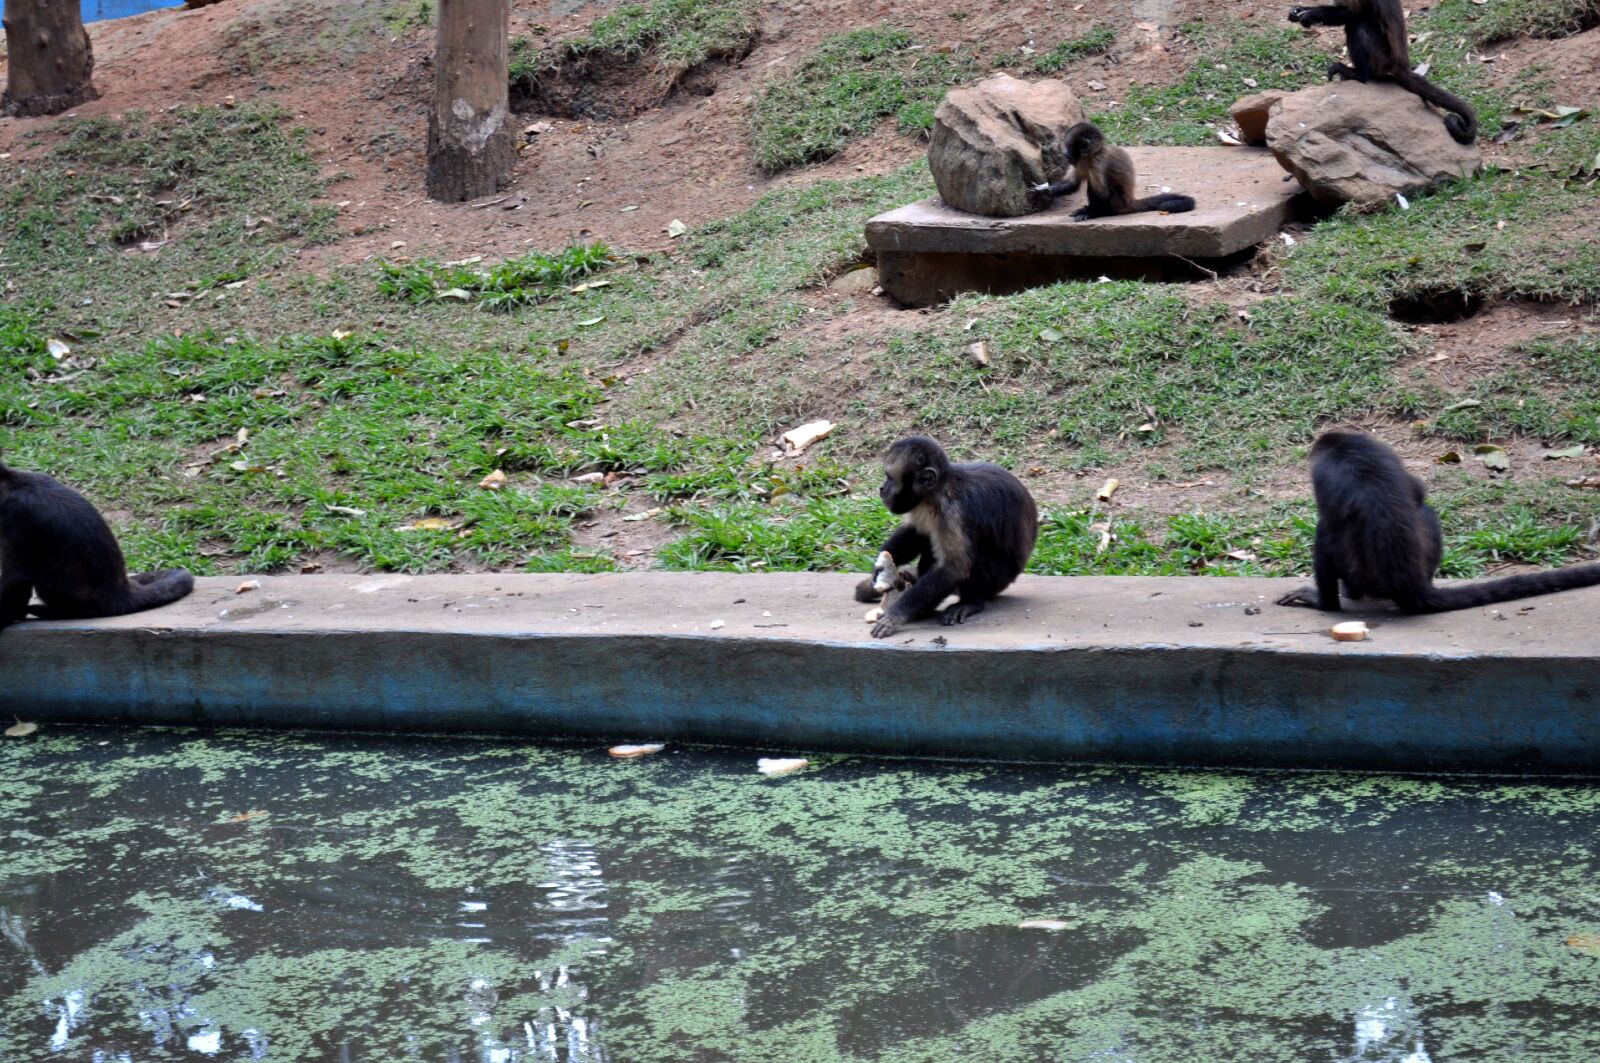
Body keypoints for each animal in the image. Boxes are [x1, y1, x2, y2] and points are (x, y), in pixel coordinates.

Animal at [854, 436, 1038, 639]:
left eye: (890, 478)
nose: (882, 488)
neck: (937, 492)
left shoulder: (952, 510)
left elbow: (954, 568)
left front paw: (896, 615)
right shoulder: (923, 505)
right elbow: (916, 531)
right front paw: (880, 566)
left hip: (998, 579)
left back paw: (970, 603)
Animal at [1031, 122, 1196, 221]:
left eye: (1067, 147)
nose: (1065, 154)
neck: (1091, 157)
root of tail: (1129, 202)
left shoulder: (1098, 163)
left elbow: (1102, 193)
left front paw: (1091, 212)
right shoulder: (1080, 163)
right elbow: (1072, 184)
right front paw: (1043, 190)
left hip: (1117, 204)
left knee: (1096, 188)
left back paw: (1099, 212)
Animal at [1275, 430, 1600, 614]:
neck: (1347, 446)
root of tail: (1411, 585)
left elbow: (1327, 529)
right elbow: (1418, 493)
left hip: (1360, 574)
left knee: (1325, 537)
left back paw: (1333, 601)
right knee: (1426, 512)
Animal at [1287, 0, 1477, 144]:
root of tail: (1400, 64)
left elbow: (1358, 14)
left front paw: (1311, 15)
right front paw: (1299, 11)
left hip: (1381, 58)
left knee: (1358, 24)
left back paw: (1359, 75)